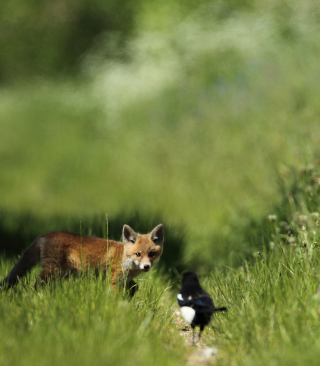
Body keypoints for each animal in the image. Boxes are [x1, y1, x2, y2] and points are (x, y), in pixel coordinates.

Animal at [0, 222, 164, 294]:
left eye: (151, 254)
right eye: (138, 254)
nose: (146, 266)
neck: (125, 260)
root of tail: (45, 234)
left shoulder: (125, 280)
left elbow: (134, 287)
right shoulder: (113, 279)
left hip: (61, 274)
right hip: (52, 272)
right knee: (36, 285)